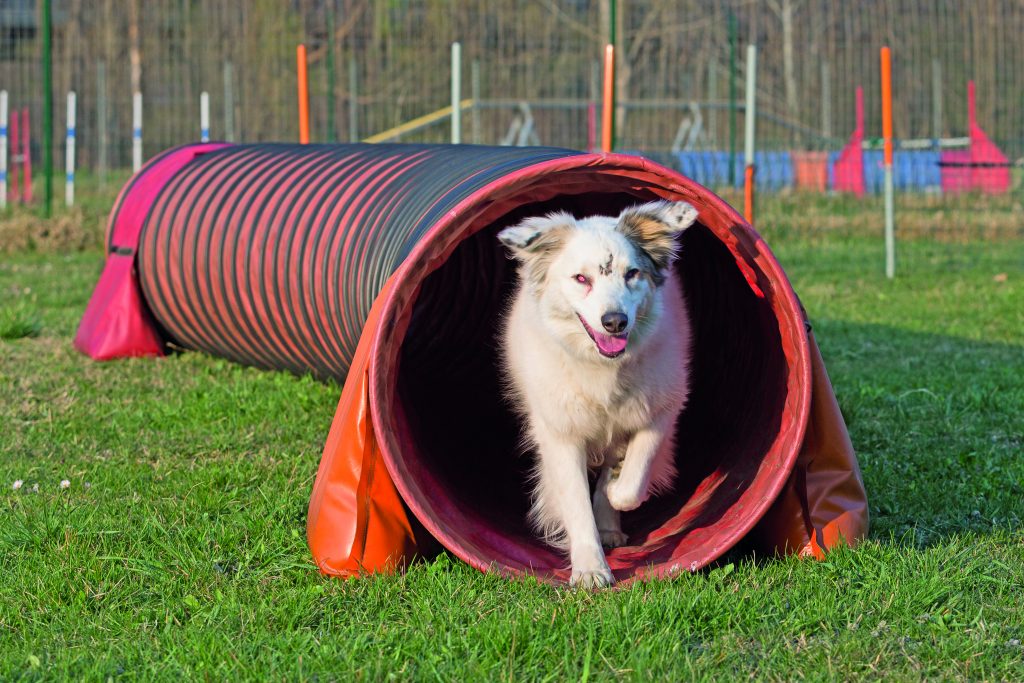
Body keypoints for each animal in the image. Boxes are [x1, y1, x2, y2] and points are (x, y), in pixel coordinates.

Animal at [495, 198, 696, 589]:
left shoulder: (660, 408)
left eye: (632, 274)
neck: (603, 367)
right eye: (581, 279)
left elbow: (633, 476)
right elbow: (576, 503)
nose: (615, 322)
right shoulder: (560, 432)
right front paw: (590, 569)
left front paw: (616, 490)